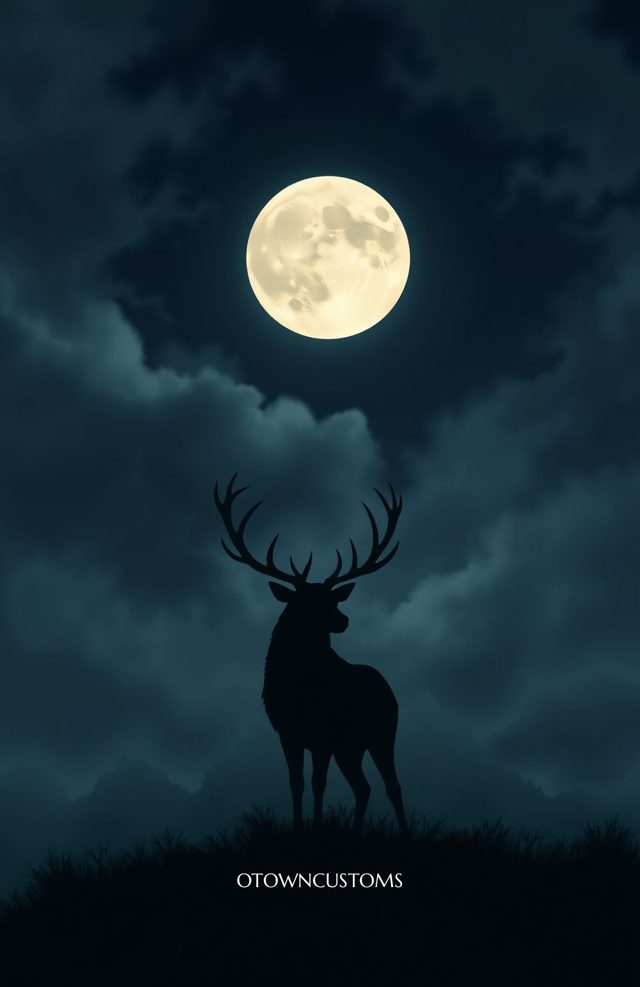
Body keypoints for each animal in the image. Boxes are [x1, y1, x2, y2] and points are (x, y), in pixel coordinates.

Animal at [213, 474, 408, 837]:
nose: (343, 620)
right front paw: (299, 827)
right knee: (363, 787)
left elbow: (319, 783)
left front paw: (316, 828)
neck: (301, 688)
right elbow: (297, 783)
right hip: (350, 747)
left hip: (382, 733)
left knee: (392, 786)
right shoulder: (287, 733)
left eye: (333, 599)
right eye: (305, 602)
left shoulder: (323, 735)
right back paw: (356, 832)